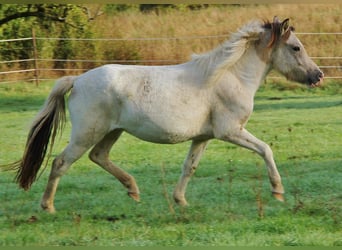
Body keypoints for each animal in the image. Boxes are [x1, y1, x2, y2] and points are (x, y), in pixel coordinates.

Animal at [3, 16, 324, 213]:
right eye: (296, 47)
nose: (318, 76)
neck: (228, 76)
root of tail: (78, 80)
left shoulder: (204, 137)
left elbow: (189, 167)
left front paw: (180, 201)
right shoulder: (230, 131)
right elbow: (266, 150)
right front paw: (278, 191)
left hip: (112, 131)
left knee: (99, 156)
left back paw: (133, 190)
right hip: (86, 133)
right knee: (60, 163)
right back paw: (48, 207)